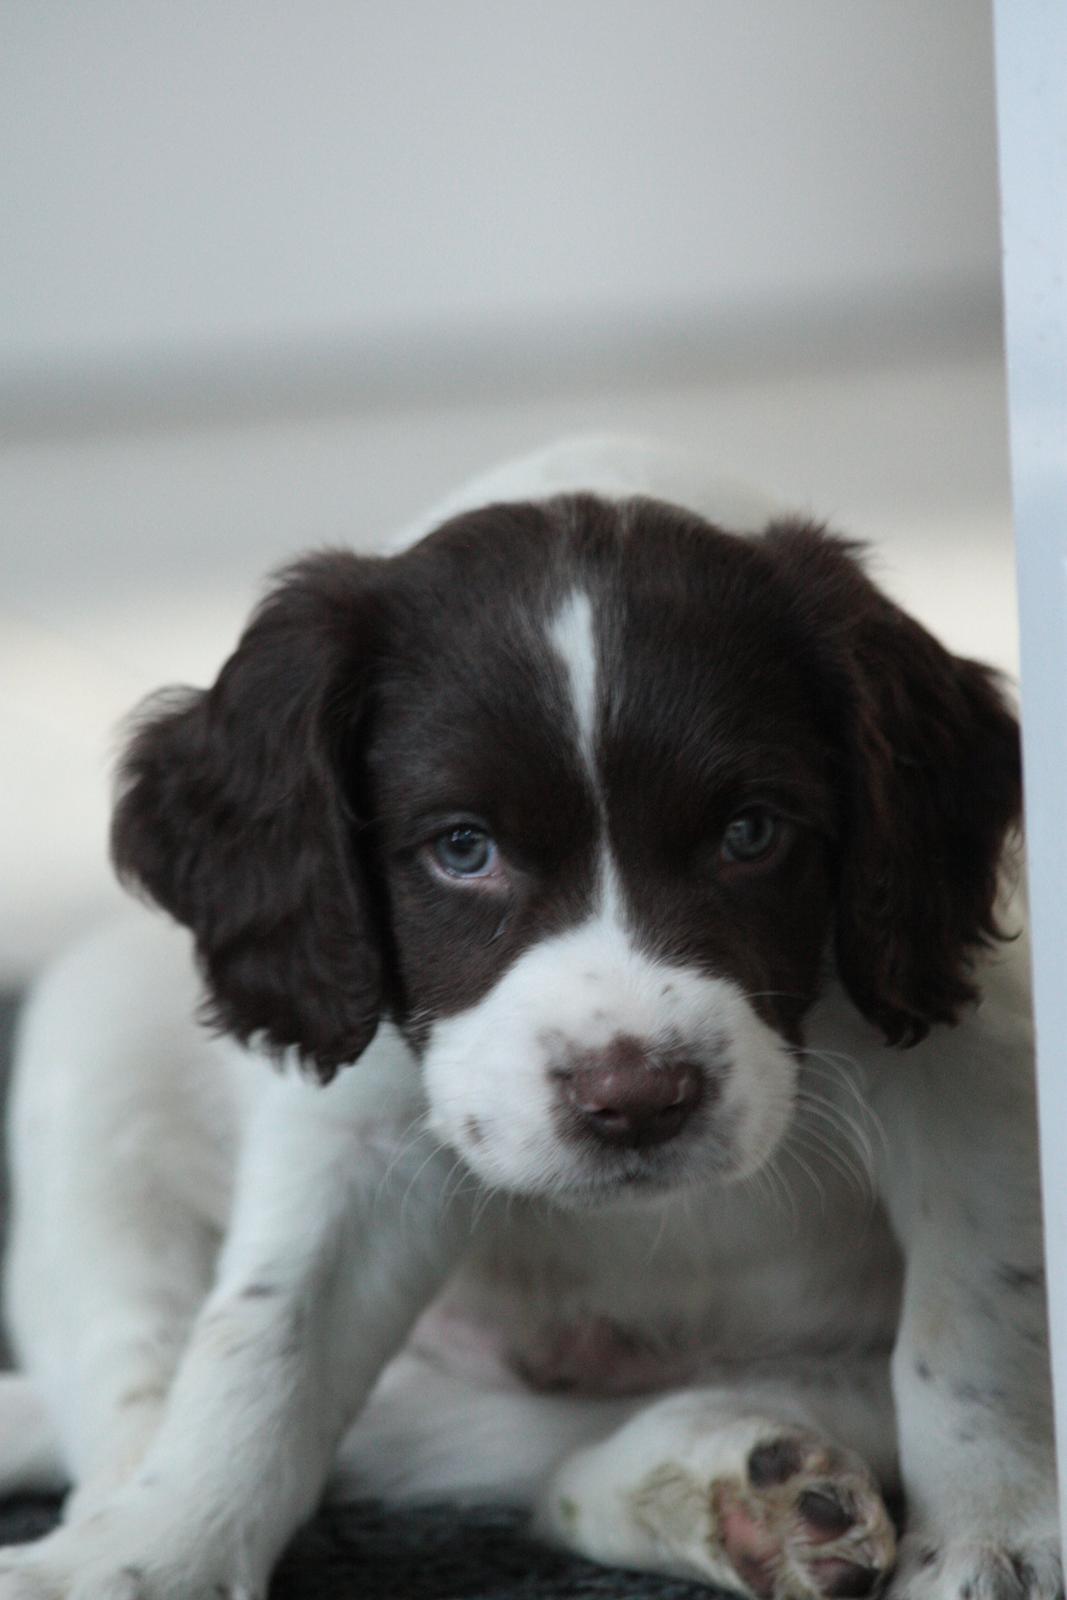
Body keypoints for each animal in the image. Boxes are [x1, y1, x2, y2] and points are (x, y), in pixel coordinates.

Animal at [0, 438, 1055, 1600]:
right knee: (139, 1374)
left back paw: (750, 1496)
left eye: (750, 832)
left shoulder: (974, 1077)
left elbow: (976, 1327)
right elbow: (266, 1338)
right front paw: (153, 1554)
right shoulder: (353, 1132)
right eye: (463, 847)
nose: (635, 1101)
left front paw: (991, 1541)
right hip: (91, 1051)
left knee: (565, 1471)